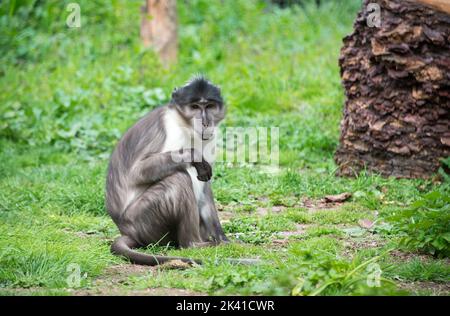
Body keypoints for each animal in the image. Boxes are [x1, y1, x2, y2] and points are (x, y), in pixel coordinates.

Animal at [106, 76, 258, 266]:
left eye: (209, 106)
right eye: (195, 107)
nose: (205, 122)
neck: (185, 125)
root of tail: (127, 230)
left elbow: (205, 187)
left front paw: (224, 240)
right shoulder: (169, 129)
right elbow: (136, 172)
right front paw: (194, 156)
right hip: (142, 221)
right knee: (178, 178)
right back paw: (193, 244)